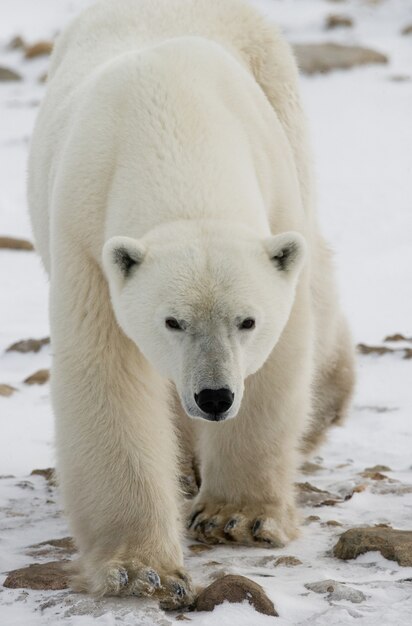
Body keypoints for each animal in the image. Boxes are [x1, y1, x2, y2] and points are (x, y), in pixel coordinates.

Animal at [28, 0, 354, 608]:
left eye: (247, 320)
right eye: (172, 321)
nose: (215, 396)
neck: (175, 124)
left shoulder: (274, 193)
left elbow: (280, 358)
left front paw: (237, 518)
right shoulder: (86, 240)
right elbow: (107, 378)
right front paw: (140, 568)